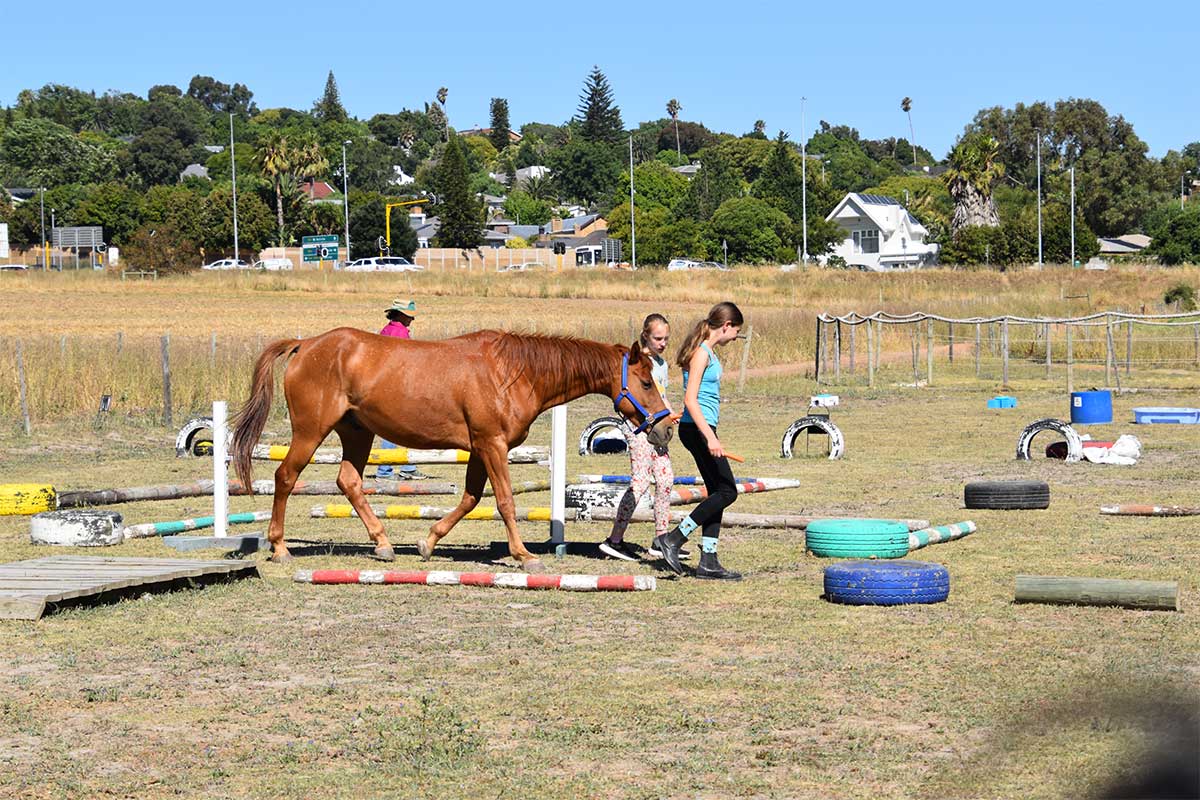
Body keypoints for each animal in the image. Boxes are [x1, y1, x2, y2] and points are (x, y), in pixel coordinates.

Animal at [230, 328, 672, 570]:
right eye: (645, 382)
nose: (666, 427)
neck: (513, 373)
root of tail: (305, 345)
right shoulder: (492, 446)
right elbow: (505, 501)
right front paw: (524, 554)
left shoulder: (479, 449)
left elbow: (471, 498)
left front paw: (428, 542)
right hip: (311, 431)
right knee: (285, 477)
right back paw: (279, 547)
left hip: (357, 434)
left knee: (349, 482)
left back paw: (384, 544)